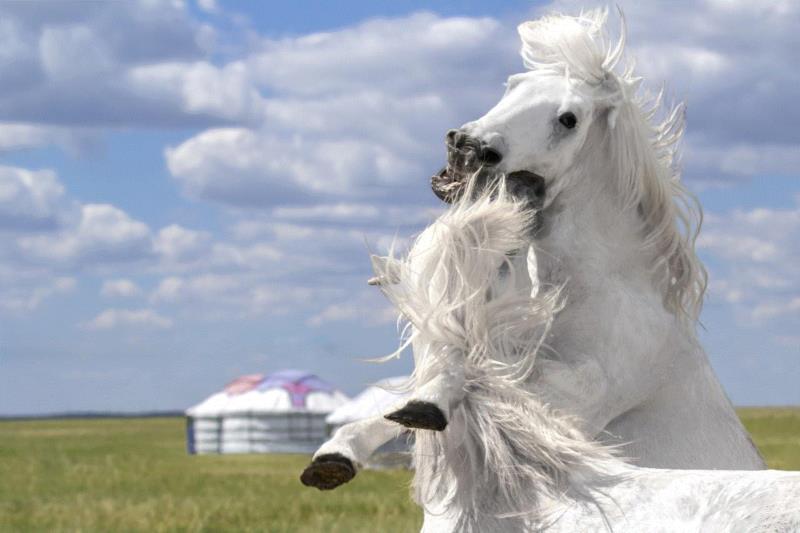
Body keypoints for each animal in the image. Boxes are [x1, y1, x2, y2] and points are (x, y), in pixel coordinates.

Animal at [299, 8, 763, 492]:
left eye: (568, 119)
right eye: (513, 83)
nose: (466, 148)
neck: (594, 292)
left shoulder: (570, 406)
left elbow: (472, 388)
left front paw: (428, 402)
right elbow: (404, 408)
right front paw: (336, 455)